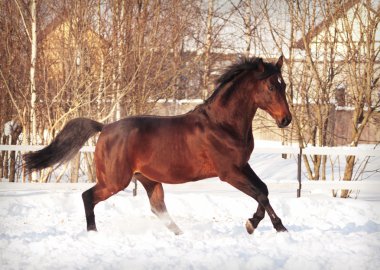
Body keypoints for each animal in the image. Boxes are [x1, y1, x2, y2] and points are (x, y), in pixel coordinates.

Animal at [23, 55, 290, 234]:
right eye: (271, 86)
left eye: (284, 85)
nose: (286, 120)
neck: (222, 124)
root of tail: (104, 128)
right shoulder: (229, 172)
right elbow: (259, 193)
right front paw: (268, 226)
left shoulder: (242, 166)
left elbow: (264, 190)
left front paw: (259, 223)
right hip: (114, 181)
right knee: (88, 196)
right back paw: (93, 233)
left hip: (149, 180)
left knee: (157, 208)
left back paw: (181, 235)